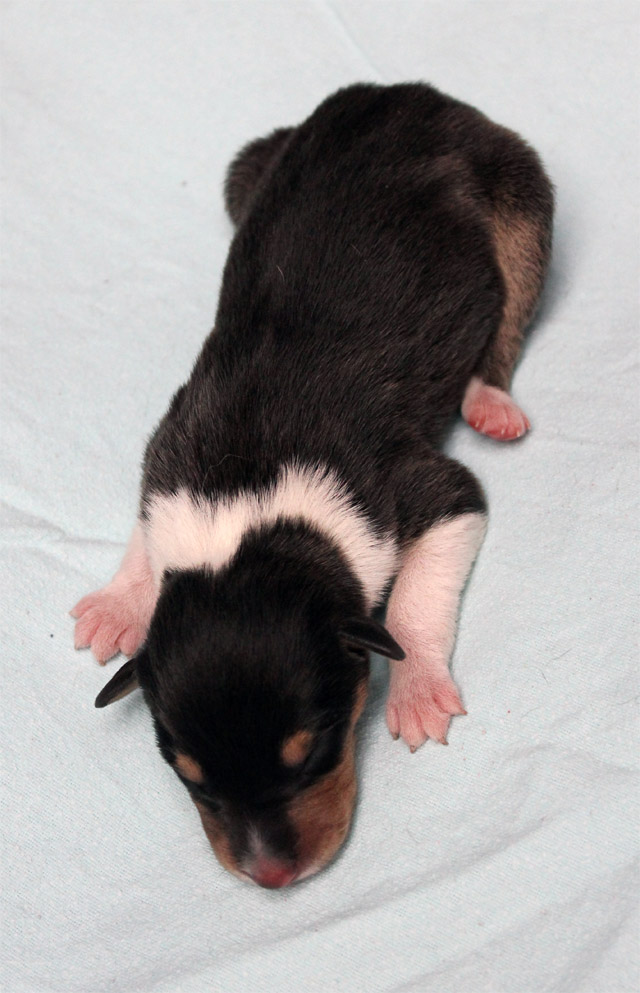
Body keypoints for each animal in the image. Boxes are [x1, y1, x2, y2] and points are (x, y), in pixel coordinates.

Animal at [71, 83, 553, 888]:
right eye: (190, 776)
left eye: (316, 748)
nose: (271, 879)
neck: (246, 517)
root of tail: (403, 93)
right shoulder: (167, 450)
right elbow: (144, 532)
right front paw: (118, 604)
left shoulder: (432, 490)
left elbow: (416, 597)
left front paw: (417, 687)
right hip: (250, 168)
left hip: (520, 196)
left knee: (512, 308)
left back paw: (491, 401)